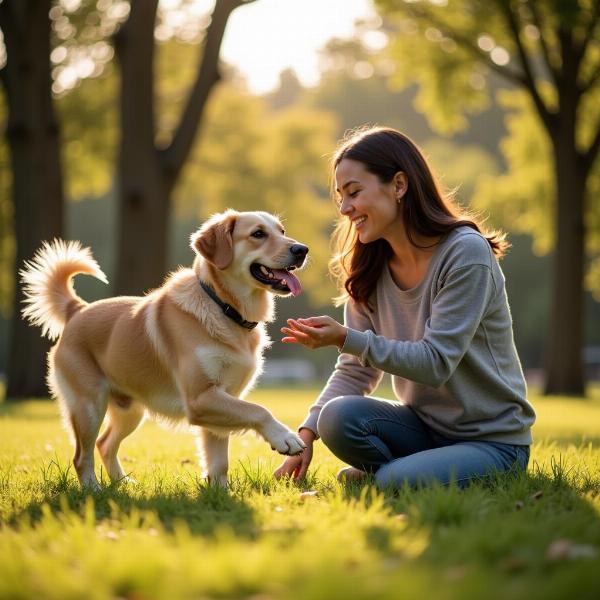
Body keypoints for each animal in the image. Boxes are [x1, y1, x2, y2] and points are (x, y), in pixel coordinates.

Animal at [20, 210, 310, 488]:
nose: (302, 249)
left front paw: (219, 494)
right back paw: (93, 490)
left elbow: (219, 462)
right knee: (82, 457)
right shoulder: (201, 398)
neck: (223, 308)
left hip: (130, 411)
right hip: (89, 407)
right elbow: (258, 409)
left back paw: (123, 484)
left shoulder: (222, 400)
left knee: (105, 444)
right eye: (258, 234)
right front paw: (285, 437)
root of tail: (77, 309)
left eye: (282, 231)